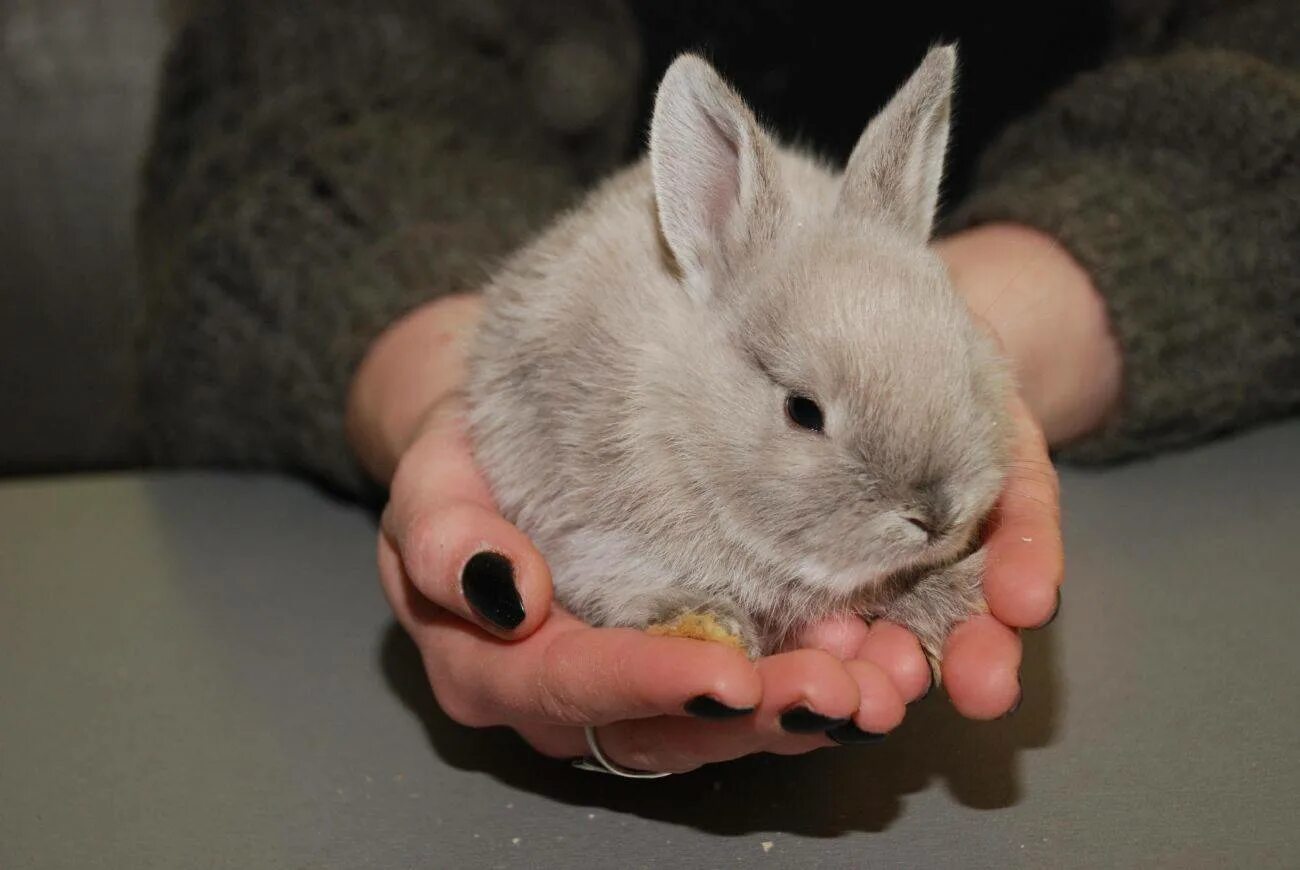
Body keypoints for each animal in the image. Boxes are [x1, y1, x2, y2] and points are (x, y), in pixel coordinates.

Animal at [467, 45, 1013, 671]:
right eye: (802, 411)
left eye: (965, 371)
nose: (935, 514)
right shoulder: (586, 531)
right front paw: (708, 625)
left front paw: (945, 597)